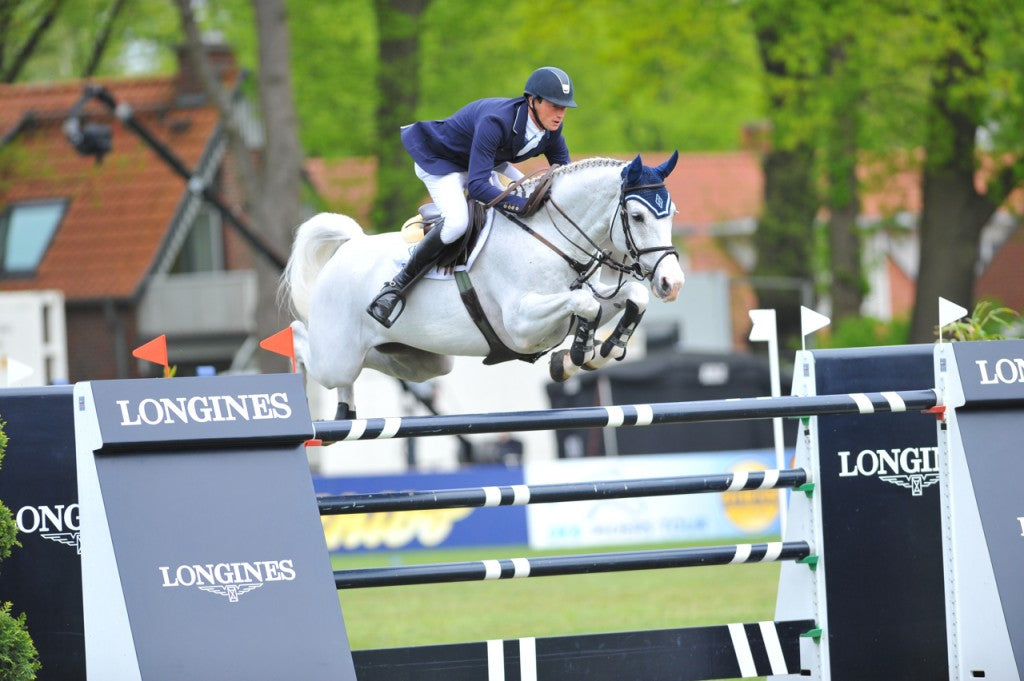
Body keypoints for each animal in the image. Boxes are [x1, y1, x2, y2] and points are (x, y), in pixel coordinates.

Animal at [280, 153, 684, 417]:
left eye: (672, 214)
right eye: (637, 216)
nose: (673, 283)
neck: (549, 237)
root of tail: (348, 248)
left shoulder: (572, 307)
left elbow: (631, 296)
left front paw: (595, 353)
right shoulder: (522, 325)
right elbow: (587, 304)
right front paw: (580, 355)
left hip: (419, 360)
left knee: (377, 365)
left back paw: (346, 410)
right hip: (337, 356)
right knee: (303, 340)